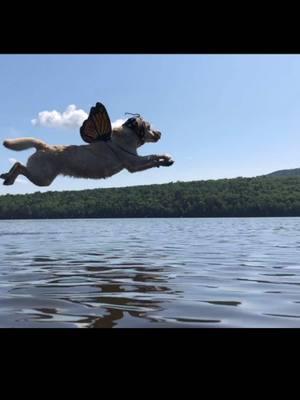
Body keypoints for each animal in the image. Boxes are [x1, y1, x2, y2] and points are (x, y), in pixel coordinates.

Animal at [0, 103, 173, 186]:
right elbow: (152, 156)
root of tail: (43, 146)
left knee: (18, 165)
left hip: (42, 177)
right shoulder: (133, 162)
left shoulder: (134, 166)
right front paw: (166, 157)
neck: (126, 138)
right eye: (149, 127)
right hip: (42, 178)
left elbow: (152, 162)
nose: (160, 133)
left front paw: (165, 162)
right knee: (19, 166)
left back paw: (6, 176)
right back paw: (9, 178)